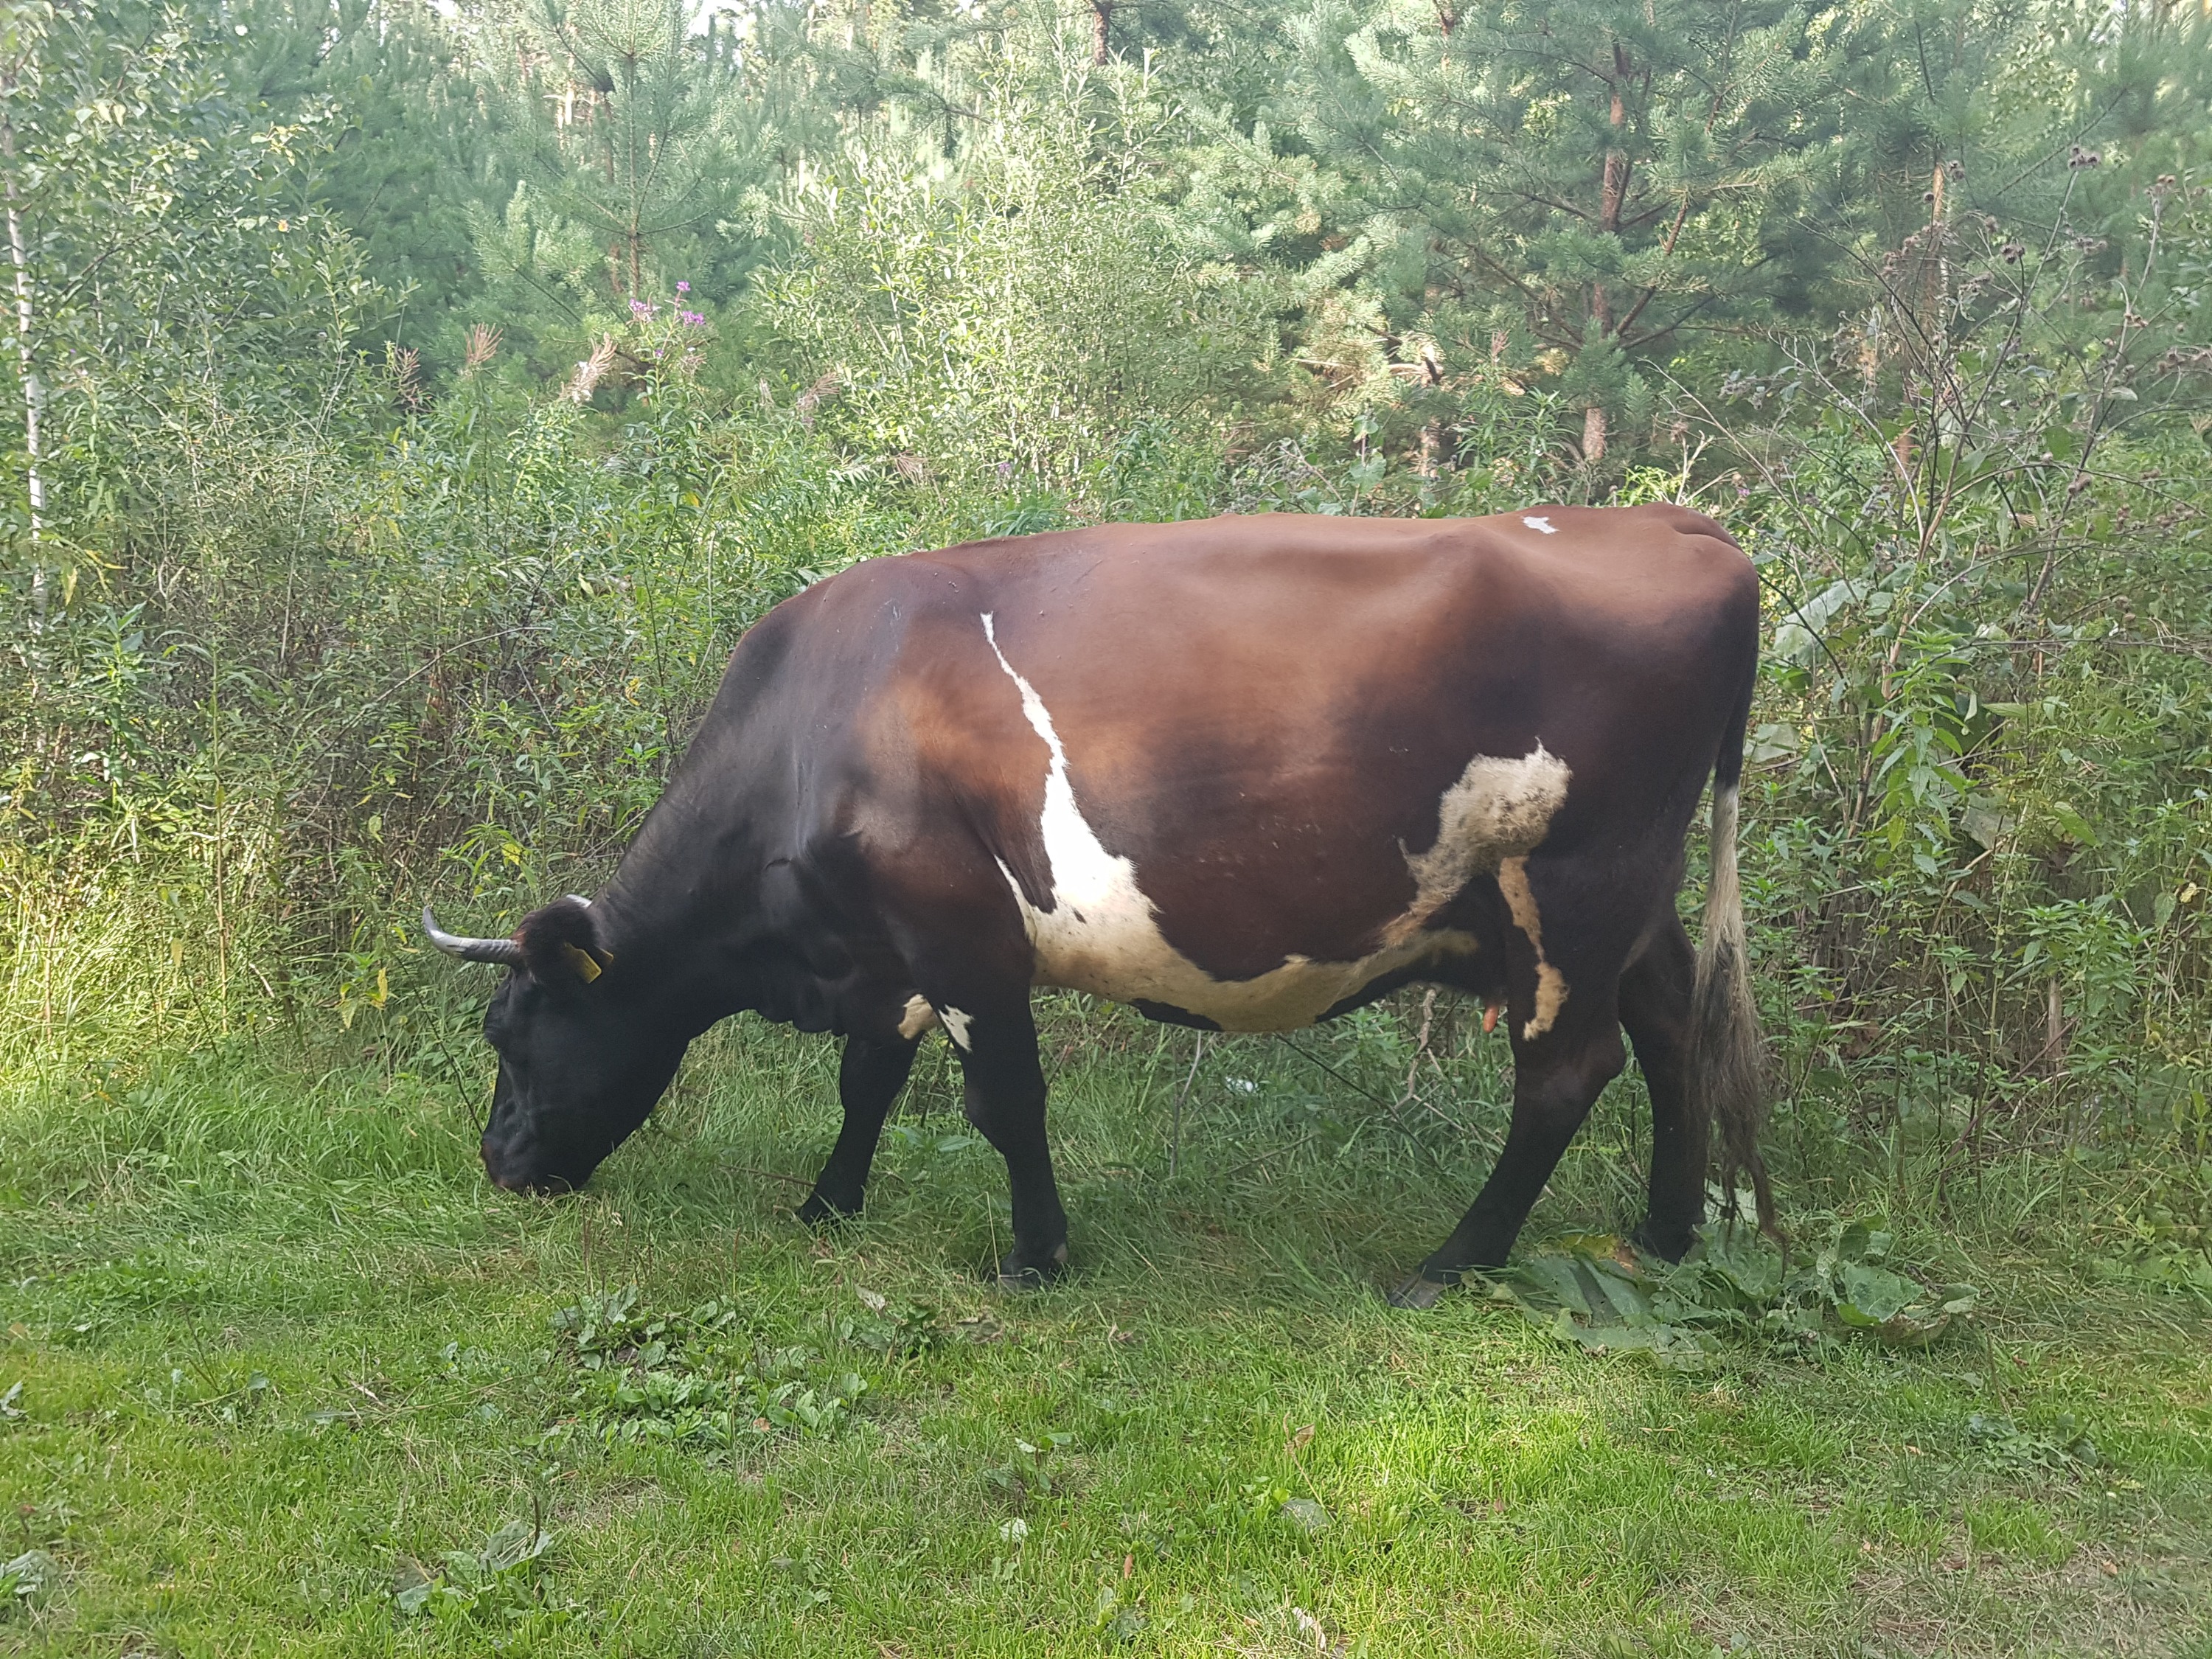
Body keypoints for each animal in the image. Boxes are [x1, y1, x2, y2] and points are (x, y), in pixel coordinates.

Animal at [427, 507, 1778, 1310]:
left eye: (511, 1032)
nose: (495, 1161)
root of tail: (1672, 520)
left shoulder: (961, 935)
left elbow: (1005, 1103)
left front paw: (1035, 1254)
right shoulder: (883, 947)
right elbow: (868, 1080)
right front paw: (826, 1202)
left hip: (1574, 890)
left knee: (1567, 1074)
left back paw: (1450, 1263)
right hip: (1628, 902)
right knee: (1671, 1027)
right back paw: (1664, 1233)